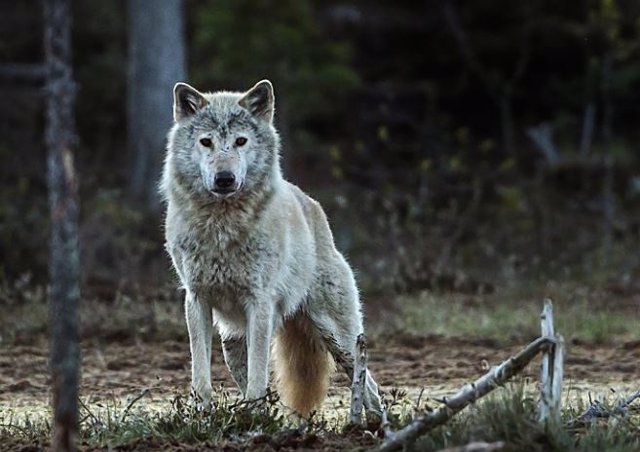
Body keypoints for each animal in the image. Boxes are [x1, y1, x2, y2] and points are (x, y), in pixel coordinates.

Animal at [161, 79, 380, 418]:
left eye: (240, 141)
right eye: (206, 142)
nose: (224, 178)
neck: (222, 228)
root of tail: (313, 205)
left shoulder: (259, 302)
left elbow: (259, 376)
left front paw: (253, 417)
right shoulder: (196, 300)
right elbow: (201, 377)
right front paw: (202, 417)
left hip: (338, 337)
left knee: (369, 385)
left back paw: (371, 424)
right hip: (232, 344)